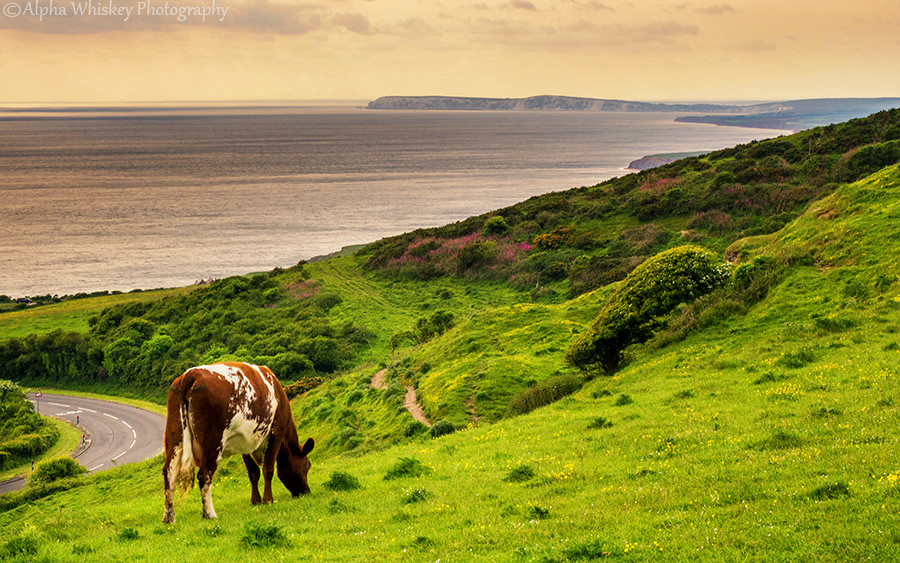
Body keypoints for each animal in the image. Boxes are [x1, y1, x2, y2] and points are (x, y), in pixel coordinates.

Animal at [163, 362, 316, 524]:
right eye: (307, 466)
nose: (306, 491)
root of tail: (191, 374)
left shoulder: (246, 442)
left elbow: (253, 473)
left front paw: (255, 500)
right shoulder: (276, 435)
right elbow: (268, 469)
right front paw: (268, 500)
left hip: (175, 437)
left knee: (169, 473)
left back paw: (169, 518)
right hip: (213, 441)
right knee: (204, 474)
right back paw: (210, 514)